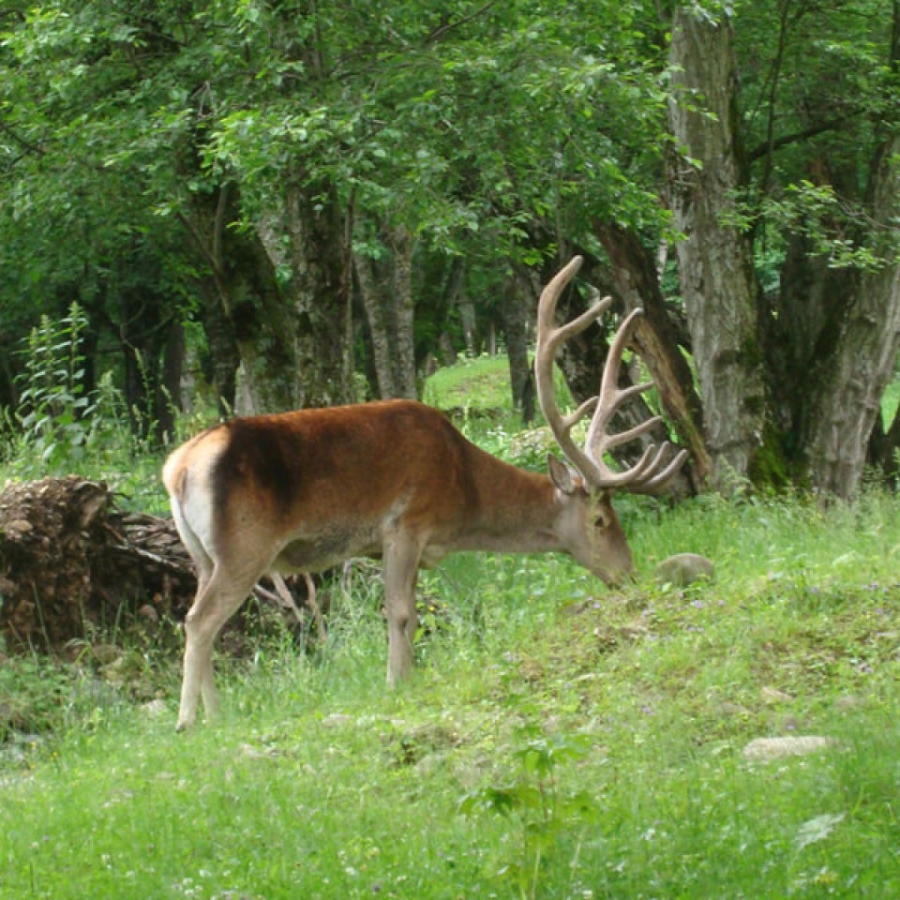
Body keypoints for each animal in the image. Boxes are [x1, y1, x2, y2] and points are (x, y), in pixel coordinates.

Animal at [163, 255, 684, 732]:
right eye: (600, 520)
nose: (629, 574)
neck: (462, 493)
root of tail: (178, 469)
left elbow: (406, 613)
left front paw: (403, 678)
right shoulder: (406, 524)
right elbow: (400, 614)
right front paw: (397, 684)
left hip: (201, 555)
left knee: (200, 617)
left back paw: (213, 715)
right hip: (243, 545)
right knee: (199, 620)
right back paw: (189, 720)